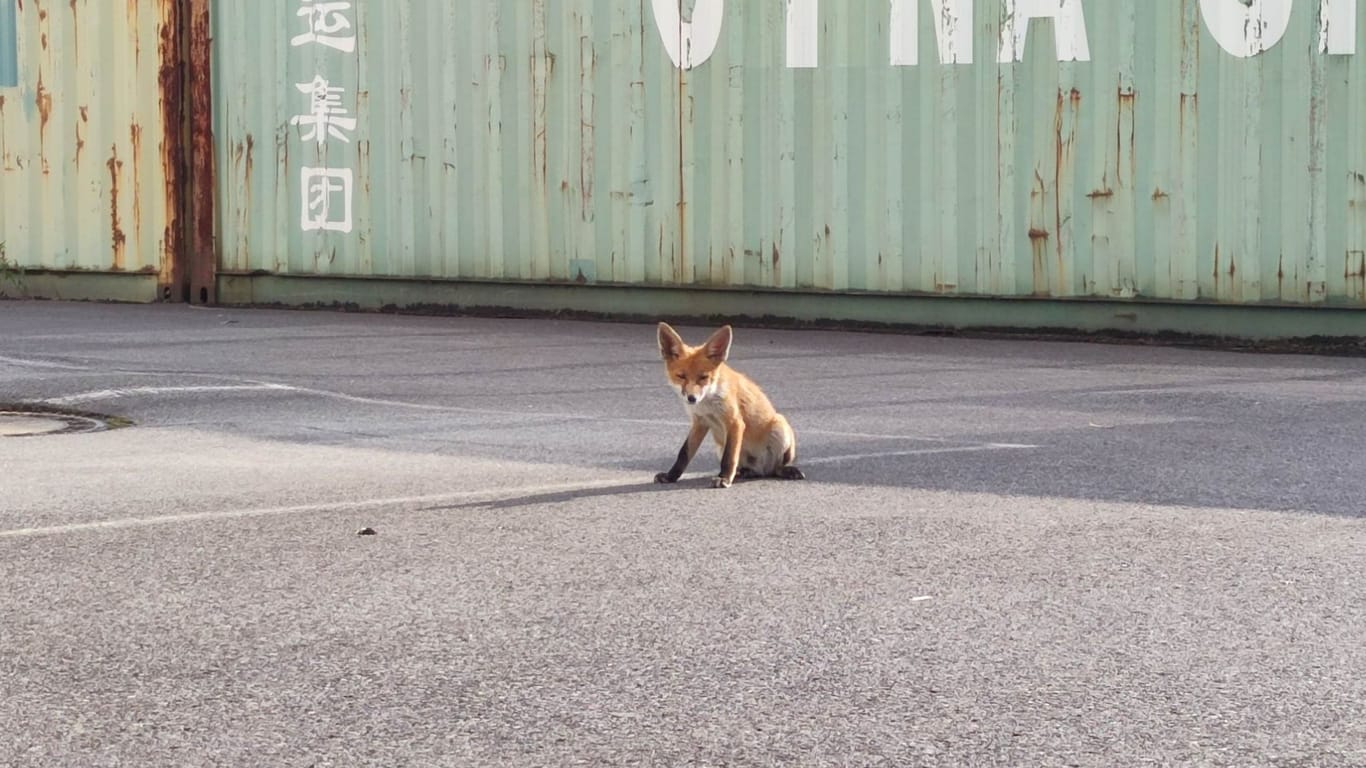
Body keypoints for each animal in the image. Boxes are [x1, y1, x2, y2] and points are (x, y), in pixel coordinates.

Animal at [652, 319, 803, 486]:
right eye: (681, 376)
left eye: (703, 377)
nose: (692, 398)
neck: (707, 404)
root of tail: (762, 469)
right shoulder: (700, 422)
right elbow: (684, 453)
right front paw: (671, 476)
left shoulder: (734, 422)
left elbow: (729, 457)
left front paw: (723, 478)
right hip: (720, 446)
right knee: (752, 470)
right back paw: (747, 472)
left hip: (780, 426)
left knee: (777, 467)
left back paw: (786, 470)